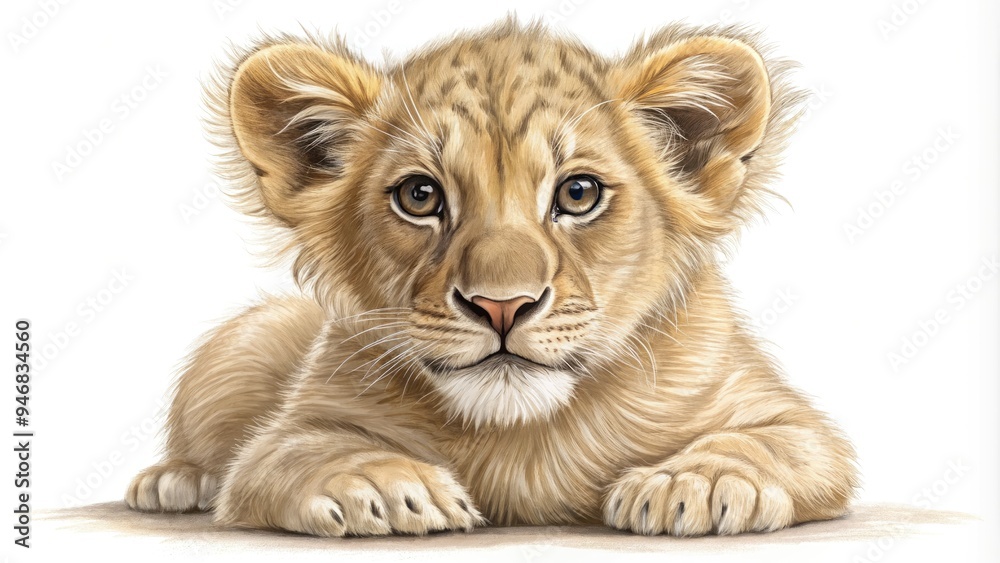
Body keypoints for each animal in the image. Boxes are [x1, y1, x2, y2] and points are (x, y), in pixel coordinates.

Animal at [125, 19, 857, 537]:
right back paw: (171, 481)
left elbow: (771, 444)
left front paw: (695, 483)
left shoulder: (783, 416)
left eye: (579, 193)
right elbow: (295, 453)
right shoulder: (283, 435)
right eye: (420, 195)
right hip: (241, 341)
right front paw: (380, 485)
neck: (523, 438)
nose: (502, 306)